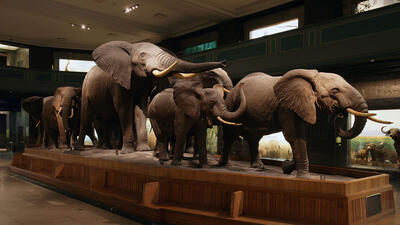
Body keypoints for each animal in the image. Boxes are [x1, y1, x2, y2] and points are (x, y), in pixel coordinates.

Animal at [76, 40, 227, 153]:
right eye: (142, 55)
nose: (224, 62)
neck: (131, 46)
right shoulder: (118, 81)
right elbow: (124, 107)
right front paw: (128, 152)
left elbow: (140, 108)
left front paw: (143, 150)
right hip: (85, 87)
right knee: (86, 114)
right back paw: (81, 149)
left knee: (104, 119)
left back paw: (106, 147)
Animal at [219, 68, 390, 178]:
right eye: (335, 91)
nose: (339, 113)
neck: (312, 78)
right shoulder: (286, 106)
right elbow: (294, 136)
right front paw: (304, 177)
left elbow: (302, 138)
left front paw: (286, 168)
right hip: (232, 104)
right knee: (230, 135)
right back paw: (224, 166)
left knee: (254, 138)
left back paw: (258, 168)